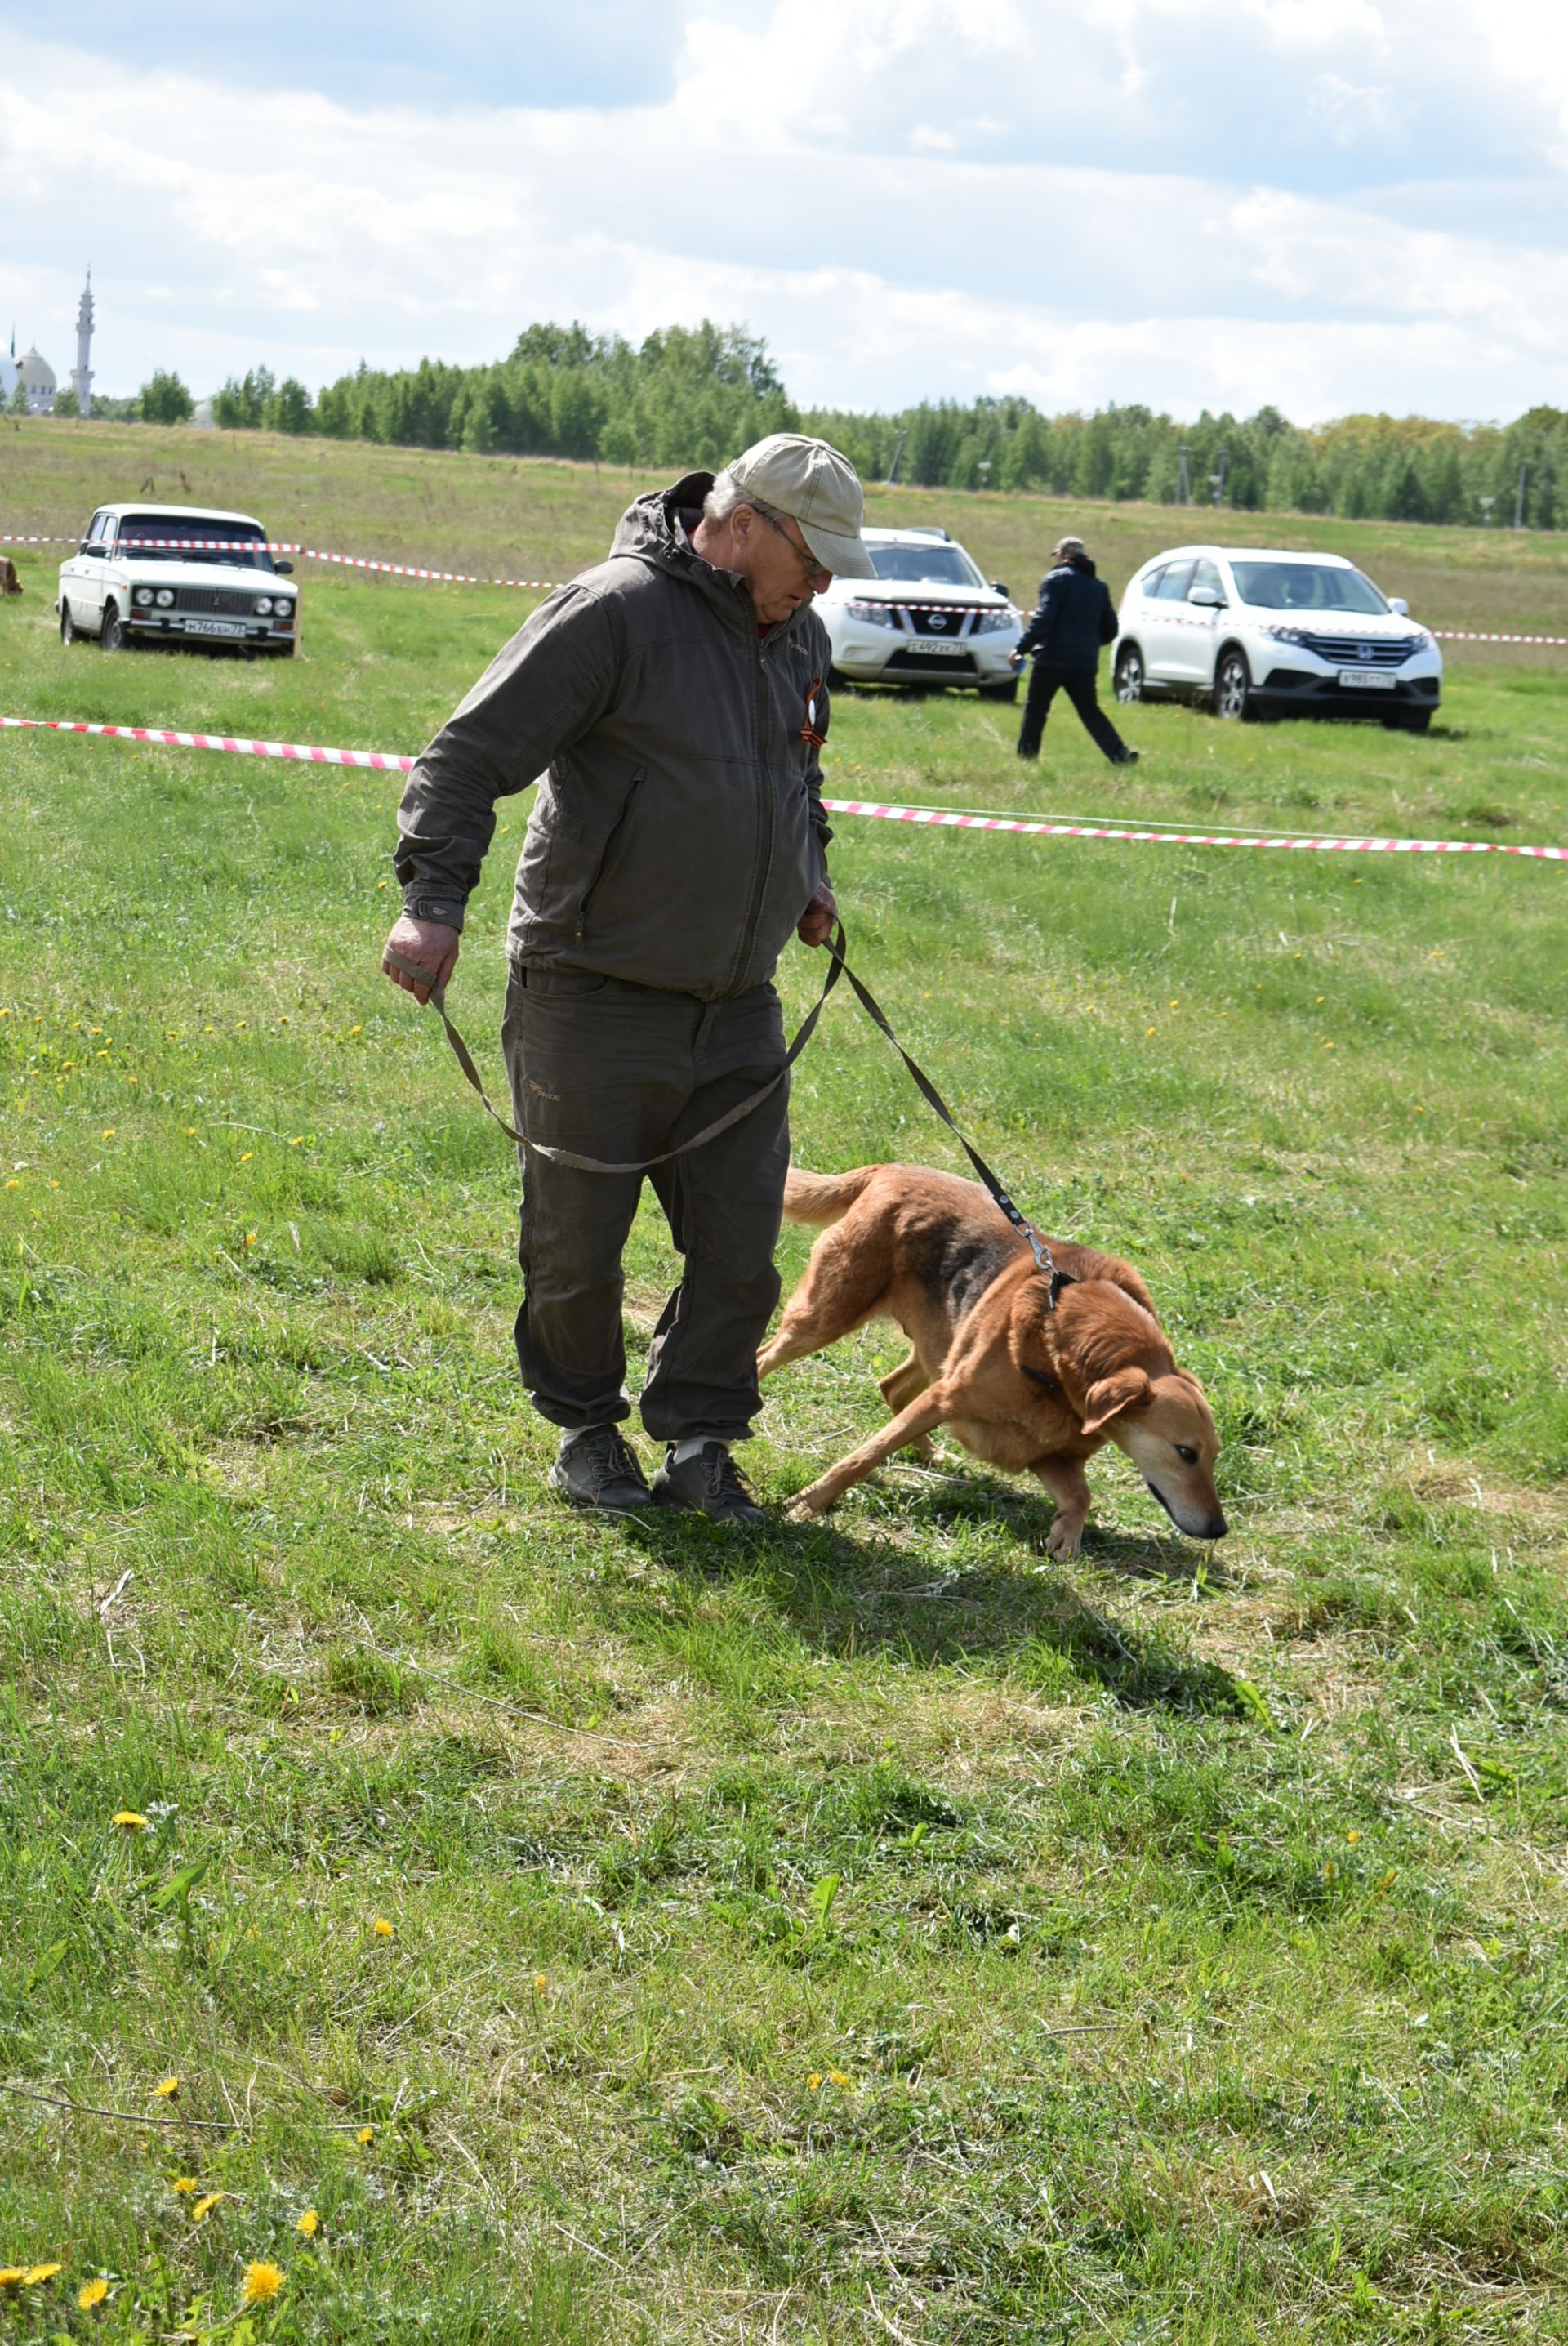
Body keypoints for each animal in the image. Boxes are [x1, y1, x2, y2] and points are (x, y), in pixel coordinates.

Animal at [759, 1158, 1218, 1558]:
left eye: (1214, 1455)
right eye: (1185, 1453)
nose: (1219, 1529)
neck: (1060, 1347)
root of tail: (888, 1169)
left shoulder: (1048, 1453)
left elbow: (1081, 1495)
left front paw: (1067, 1536)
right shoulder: (945, 1398)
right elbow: (860, 1459)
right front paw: (806, 1504)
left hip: (938, 1343)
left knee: (892, 1387)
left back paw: (929, 1453)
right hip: (823, 1318)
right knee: (764, 1356)